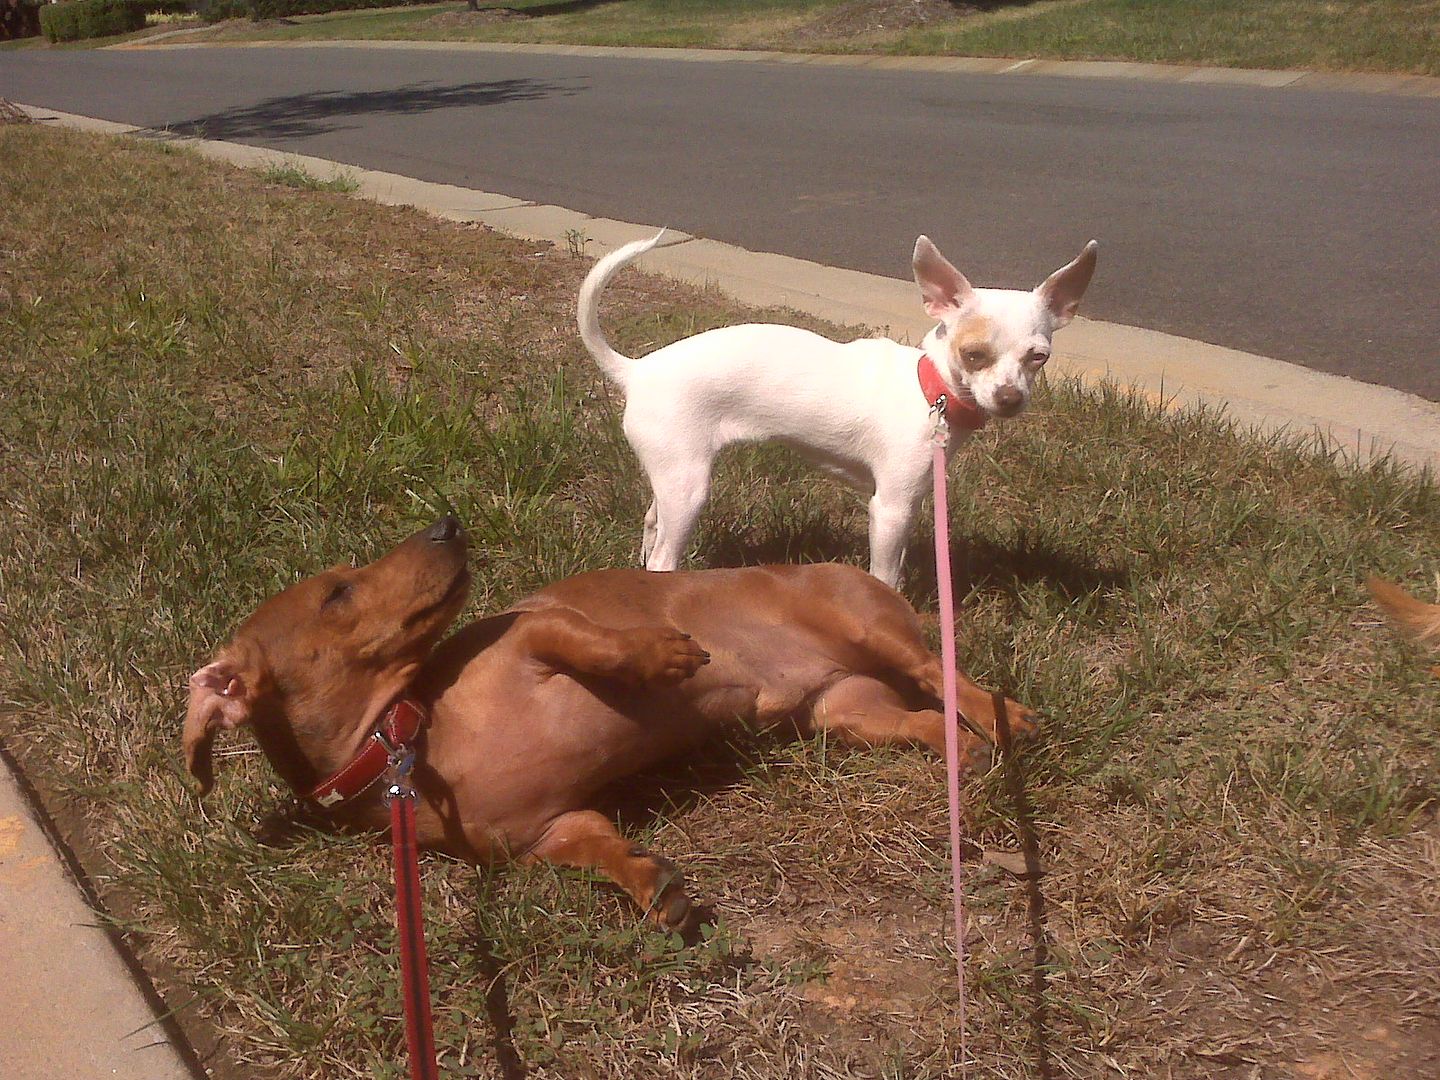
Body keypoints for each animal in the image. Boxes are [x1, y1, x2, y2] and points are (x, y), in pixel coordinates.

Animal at [185, 521, 1036, 933]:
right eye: (338, 593)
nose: (448, 523)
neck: (411, 738)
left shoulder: (533, 633)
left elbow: (592, 642)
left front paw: (661, 653)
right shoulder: (551, 830)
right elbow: (600, 850)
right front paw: (653, 887)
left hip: (865, 627)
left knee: (943, 673)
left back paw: (1004, 712)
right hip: (848, 714)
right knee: (924, 718)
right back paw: (965, 746)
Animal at [578, 233, 1094, 587]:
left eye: (1039, 357)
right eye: (973, 355)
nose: (1009, 398)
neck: (927, 390)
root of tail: (637, 370)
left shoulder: (910, 502)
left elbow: (898, 565)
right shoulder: (889, 509)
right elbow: (884, 575)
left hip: (671, 473)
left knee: (652, 525)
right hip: (689, 487)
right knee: (664, 555)